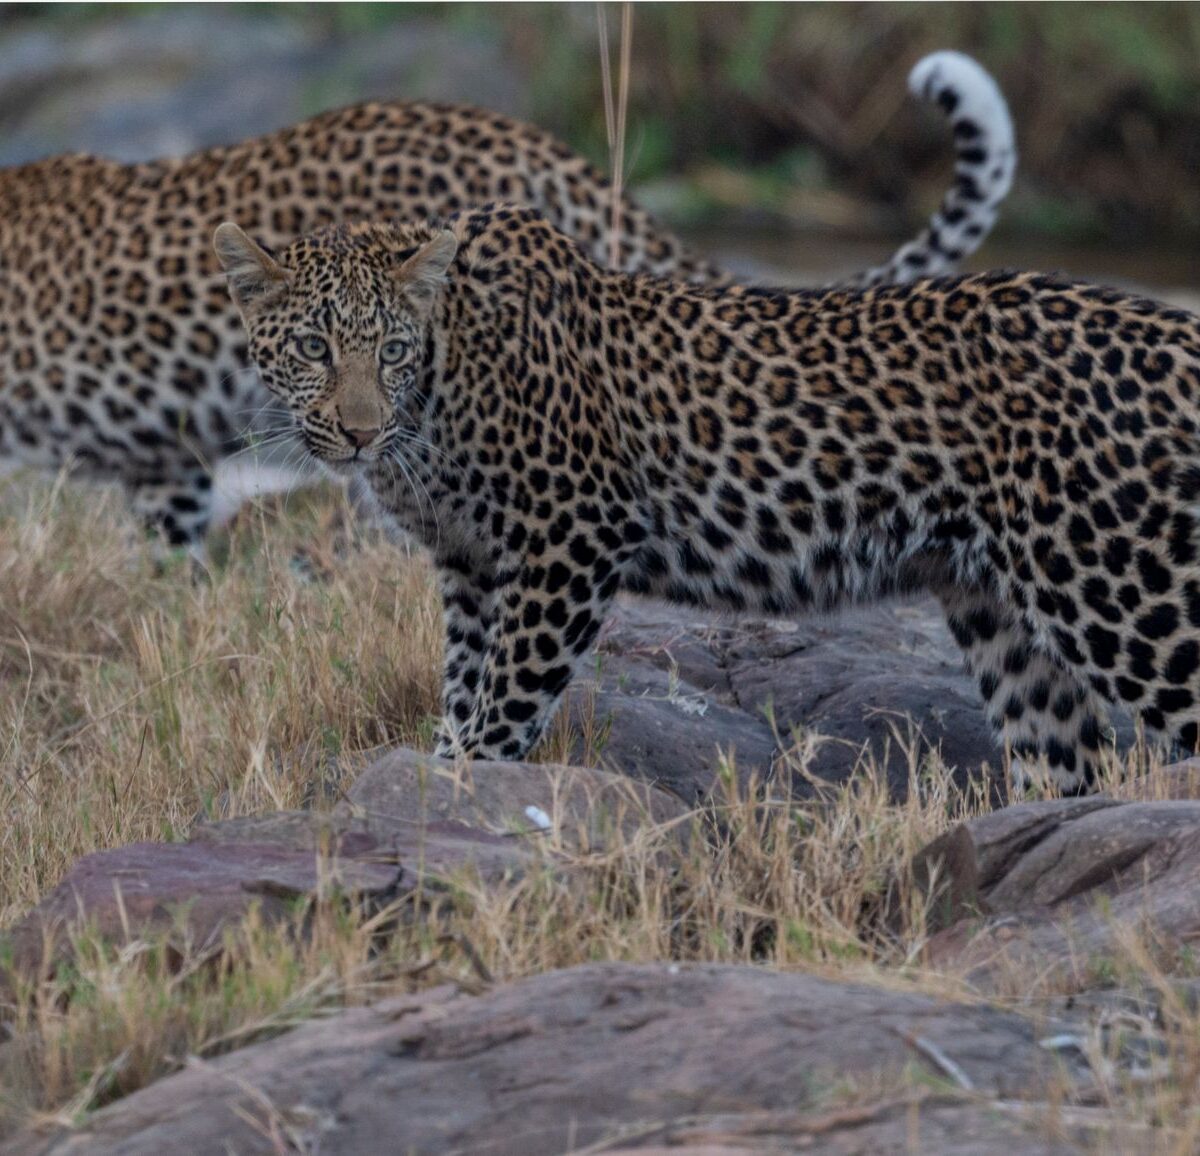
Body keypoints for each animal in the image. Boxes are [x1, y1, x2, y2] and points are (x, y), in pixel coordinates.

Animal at [217, 201, 1200, 796]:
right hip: (1004, 614)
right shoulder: (471, 564)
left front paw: (478, 786)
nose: (356, 433)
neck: (438, 392)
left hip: (1120, 588)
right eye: (312, 347)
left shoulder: (571, 539)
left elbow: (506, 699)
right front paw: (446, 774)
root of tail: (1173, 327)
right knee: (1063, 762)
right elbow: (463, 686)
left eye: (389, 350)